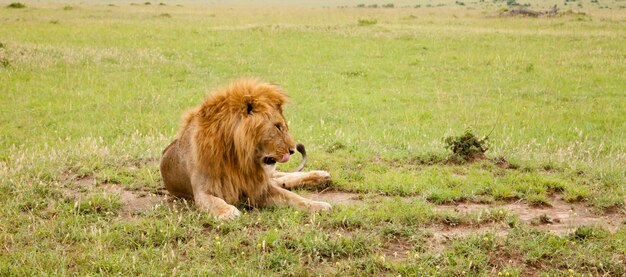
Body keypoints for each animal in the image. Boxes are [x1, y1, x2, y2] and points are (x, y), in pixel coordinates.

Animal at [158, 78, 330, 219]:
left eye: (283, 126)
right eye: (277, 126)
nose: (292, 150)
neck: (238, 157)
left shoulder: (257, 185)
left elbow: (293, 198)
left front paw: (318, 206)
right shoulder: (202, 190)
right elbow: (214, 201)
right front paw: (227, 212)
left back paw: (321, 175)